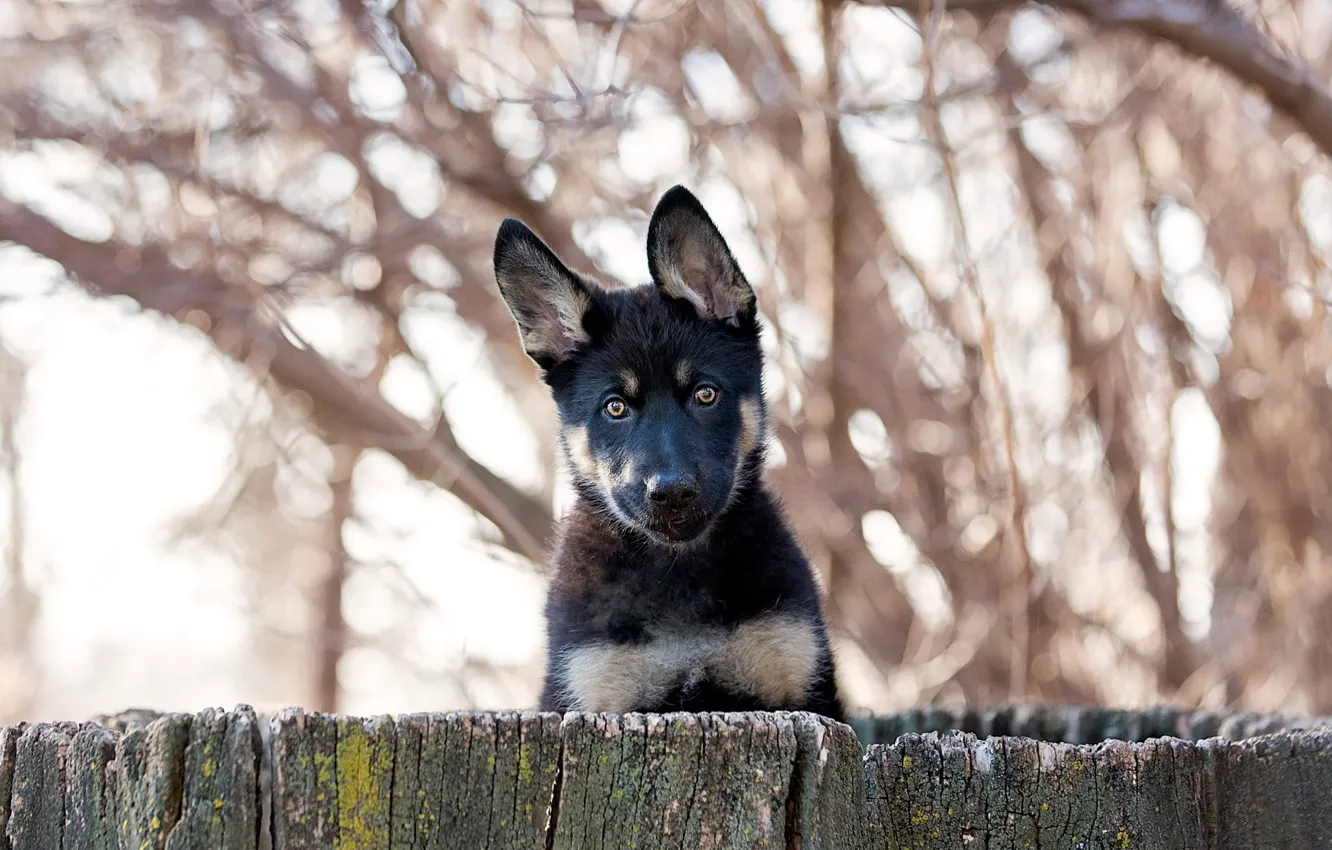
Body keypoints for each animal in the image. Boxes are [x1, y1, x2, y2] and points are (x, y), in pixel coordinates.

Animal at [495, 186, 847, 724]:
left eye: (705, 394)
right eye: (615, 407)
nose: (671, 491)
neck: (678, 569)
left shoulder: (799, 683)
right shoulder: (599, 687)